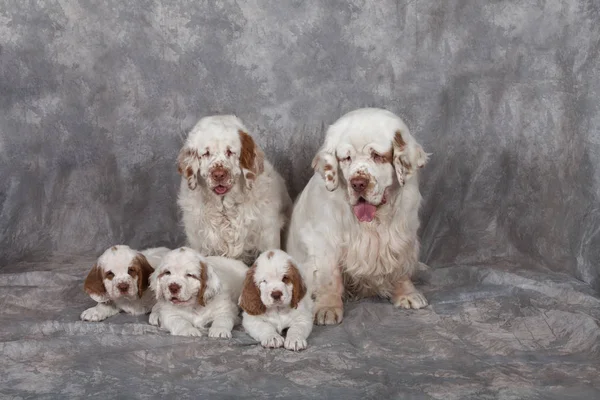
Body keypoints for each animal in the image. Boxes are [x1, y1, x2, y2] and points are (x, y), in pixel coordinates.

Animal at [176, 115, 292, 266]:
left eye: (230, 152)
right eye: (206, 153)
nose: (219, 174)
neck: (225, 208)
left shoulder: (268, 235)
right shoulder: (199, 242)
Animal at [288, 107, 432, 324]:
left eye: (377, 156)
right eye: (346, 158)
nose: (358, 183)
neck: (373, 222)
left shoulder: (403, 234)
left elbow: (400, 266)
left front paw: (407, 294)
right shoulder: (325, 241)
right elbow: (330, 277)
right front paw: (328, 307)